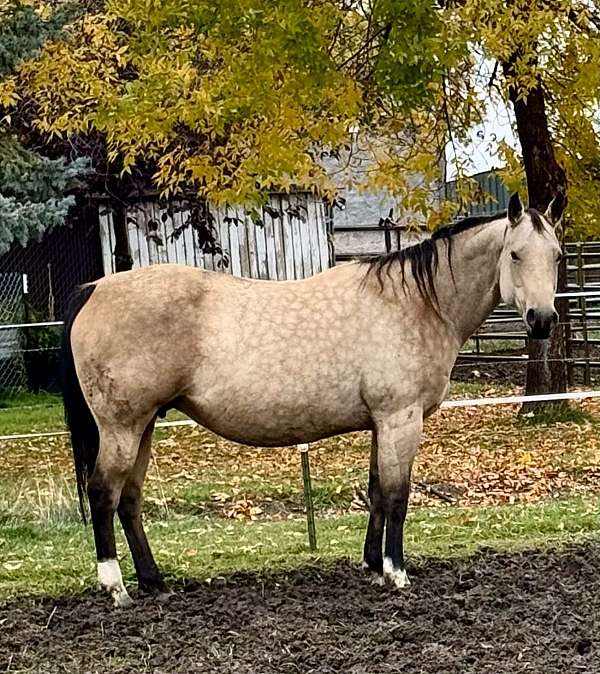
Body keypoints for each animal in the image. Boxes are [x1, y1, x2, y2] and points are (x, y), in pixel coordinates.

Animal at [62, 191, 565, 606]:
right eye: (516, 254)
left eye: (557, 256)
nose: (542, 320)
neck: (418, 303)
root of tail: (95, 289)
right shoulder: (400, 419)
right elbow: (398, 496)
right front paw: (396, 572)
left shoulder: (381, 423)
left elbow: (376, 491)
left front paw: (372, 565)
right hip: (122, 427)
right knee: (104, 494)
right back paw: (116, 587)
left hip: (144, 425)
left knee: (129, 499)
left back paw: (154, 581)